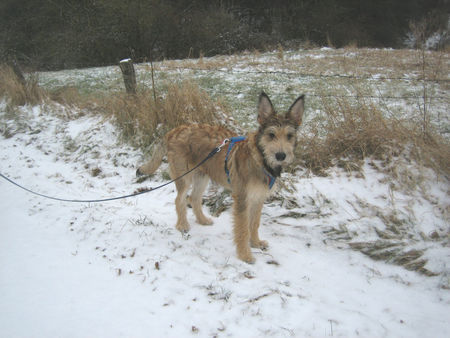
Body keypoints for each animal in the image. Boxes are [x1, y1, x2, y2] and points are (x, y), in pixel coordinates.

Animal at [137, 93, 304, 264]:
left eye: (289, 136)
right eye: (271, 135)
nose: (281, 155)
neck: (259, 158)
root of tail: (174, 131)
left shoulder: (258, 198)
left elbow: (254, 223)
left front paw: (256, 243)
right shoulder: (242, 198)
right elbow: (243, 228)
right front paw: (245, 255)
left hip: (202, 176)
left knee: (194, 198)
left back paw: (202, 220)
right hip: (185, 178)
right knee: (180, 200)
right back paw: (182, 225)